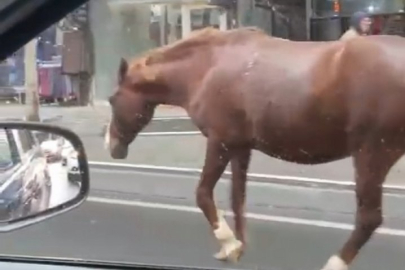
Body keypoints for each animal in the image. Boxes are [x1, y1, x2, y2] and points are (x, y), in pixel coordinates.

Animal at [105, 28, 405, 270]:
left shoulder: (220, 142)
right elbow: (238, 199)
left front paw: (229, 244)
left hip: (371, 155)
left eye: (112, 99)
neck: (206, 67)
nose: (111, 145)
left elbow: (203, 193)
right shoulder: (241, 147)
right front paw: (238, 246)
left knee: (368, 218)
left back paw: (334, 263)